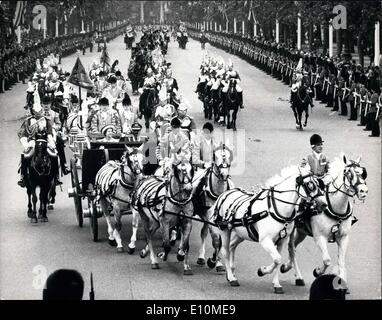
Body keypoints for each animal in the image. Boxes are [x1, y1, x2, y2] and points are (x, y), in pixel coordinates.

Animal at [207, 166, 326, 294]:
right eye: (310, 185)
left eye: (319, 184)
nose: (324, 204)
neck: (276, 209)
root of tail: (225, 194)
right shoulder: (265, 240)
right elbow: (277, 259)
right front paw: (262, 270)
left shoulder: (281, 241)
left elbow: (278, 260)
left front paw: (276, 284)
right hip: (225, 231)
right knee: (225, 251)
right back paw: (231, 277)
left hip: (242, 233)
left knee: (232, 246)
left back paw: (232, 271)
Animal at [282, 154, 368, 290]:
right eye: (348, 173)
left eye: (363, 173)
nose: (363, 191)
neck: (335, 208)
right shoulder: (319, 237)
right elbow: (327, 260)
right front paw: (317, 272)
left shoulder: (344, 238)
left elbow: (341, 261)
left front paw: (343, 284)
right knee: (291, 248)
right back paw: (294, 273)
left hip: (302, 233)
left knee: (293, 248)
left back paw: (292, 271)